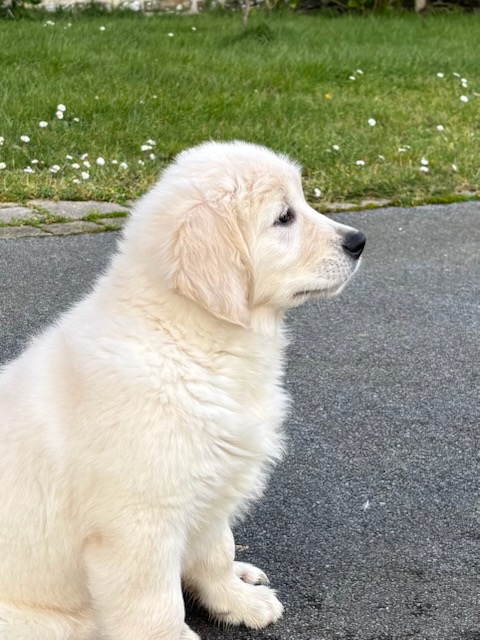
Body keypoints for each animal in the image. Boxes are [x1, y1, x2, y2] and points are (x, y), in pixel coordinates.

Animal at [0, 141, 365, 639]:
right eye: (284, 217)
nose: (359, 241)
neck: (192, 340)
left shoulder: (212, 485)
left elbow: (217, 551)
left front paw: (236, 600)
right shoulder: (138, 525)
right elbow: (154, 604)